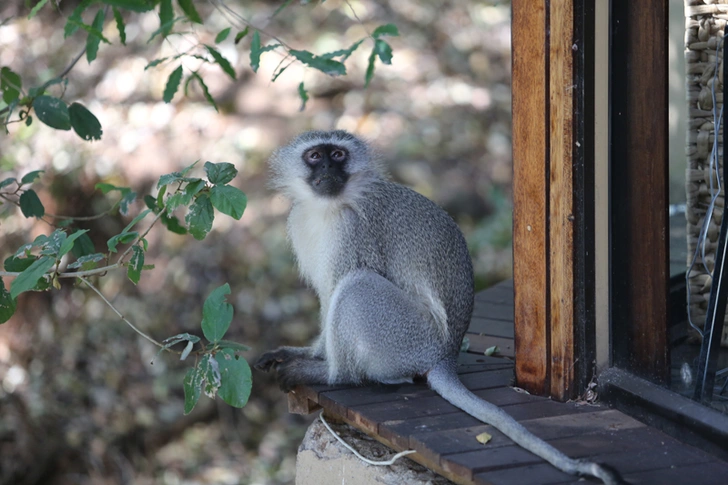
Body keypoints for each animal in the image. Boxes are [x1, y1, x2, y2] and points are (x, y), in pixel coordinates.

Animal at [253, 130, 624, 484]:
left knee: (356, 285)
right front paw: (300, 351)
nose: (328, 169)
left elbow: (340, 288)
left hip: (408, 336)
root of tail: (445, 353)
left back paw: (337, 374)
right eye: (316, 156)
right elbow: (324, 297)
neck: (329, 207)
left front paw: (314, 364)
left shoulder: (353, 231)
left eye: (338, 154)